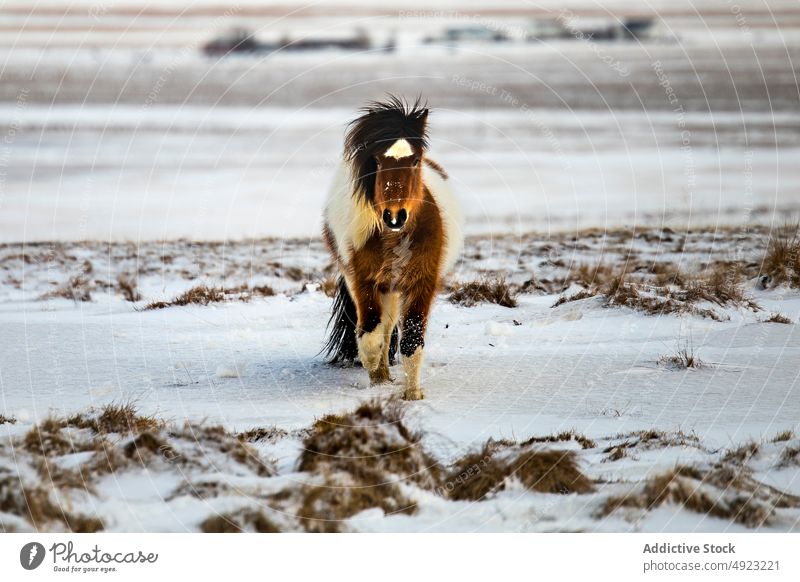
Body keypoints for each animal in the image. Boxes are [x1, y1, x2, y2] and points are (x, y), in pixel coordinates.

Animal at [322, 98, 462, 404]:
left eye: (415, 160)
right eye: (376, 161)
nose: (394, 216)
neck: (395, 237)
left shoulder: (422, 284)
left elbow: (411, 342)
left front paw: (413, 394)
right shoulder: (364, 283)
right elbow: (369, 339)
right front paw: (377, 378)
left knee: (389, 330)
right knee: (381, 329)